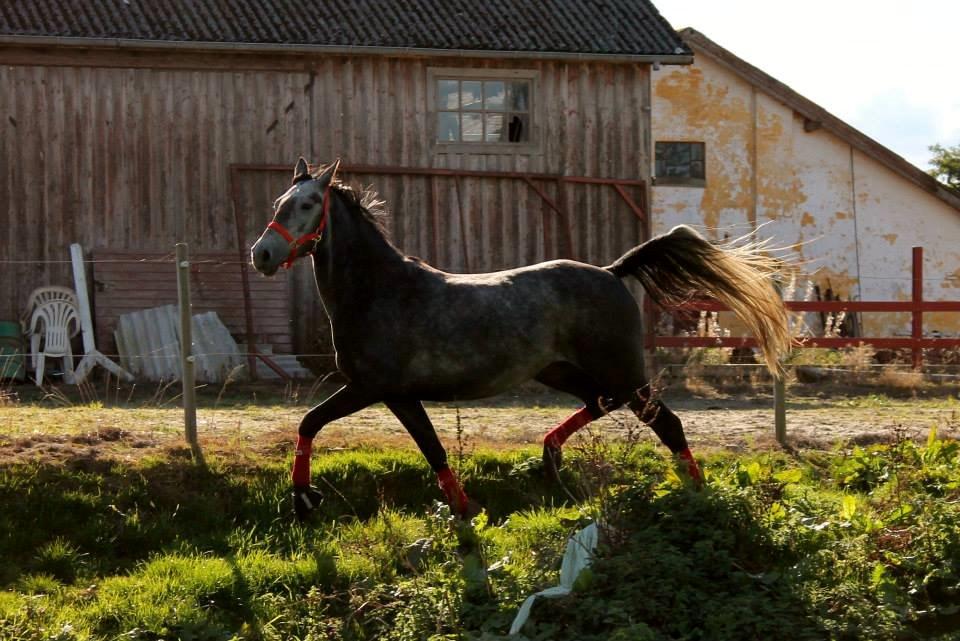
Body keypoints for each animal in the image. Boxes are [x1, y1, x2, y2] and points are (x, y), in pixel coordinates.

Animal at [251, 160, 792, 520]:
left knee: (667, 422)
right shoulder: (381, 392)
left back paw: (697, 492)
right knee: (599, 403)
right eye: (277, 203)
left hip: (622, 370)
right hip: (561, 371)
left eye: (307, 204)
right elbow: (328, 426)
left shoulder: (381, 390)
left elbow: (413, 444)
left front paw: (305, 498)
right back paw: (549, 457)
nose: (262, 254)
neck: (379, 291)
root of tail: (612, 272)